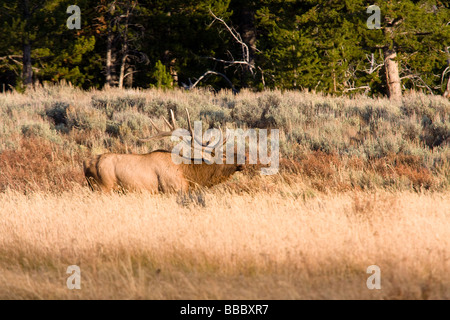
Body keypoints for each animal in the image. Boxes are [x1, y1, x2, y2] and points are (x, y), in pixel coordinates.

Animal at [82, 109, 244, 192]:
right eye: (224, 156)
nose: (243, 160)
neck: (189, 175)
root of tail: (85, 164)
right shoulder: (171, 190)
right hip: (103, 186)